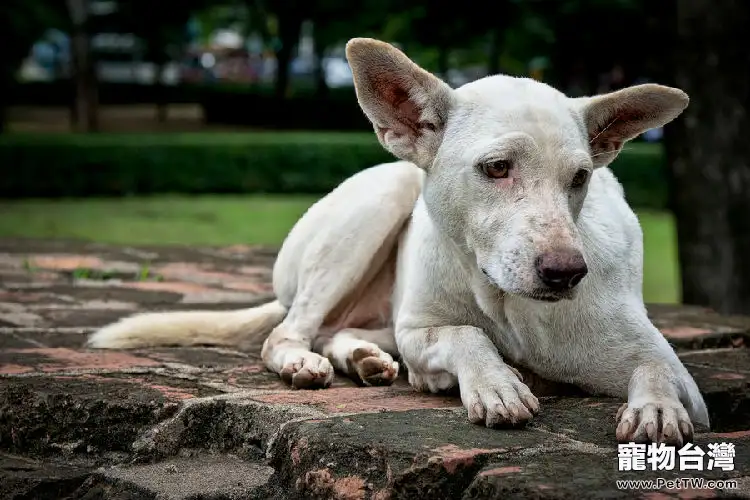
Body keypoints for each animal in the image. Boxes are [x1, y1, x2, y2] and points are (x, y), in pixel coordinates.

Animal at [88, 39, 712, 446]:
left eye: (580, 178)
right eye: (497, 167)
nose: (566, 273)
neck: (510, 307)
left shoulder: (674, 373)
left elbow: (658, 371)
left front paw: (657, 409)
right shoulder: (421, 331)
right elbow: (463, 335)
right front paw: (495, 384)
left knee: (338, 330)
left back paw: (362, 359)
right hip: (378, 202)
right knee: (287, 332)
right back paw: (307, 362)